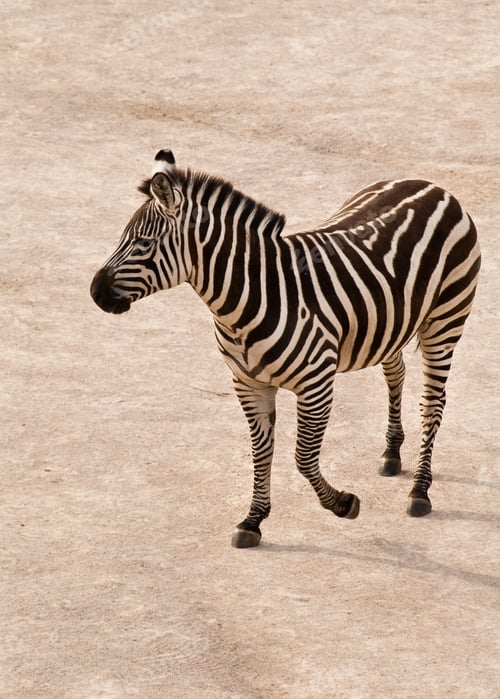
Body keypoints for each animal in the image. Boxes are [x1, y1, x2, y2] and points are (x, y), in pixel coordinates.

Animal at [90, 149, 481, 548]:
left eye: (142, 243)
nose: (95, 293)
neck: (248, 300)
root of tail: (432, 186)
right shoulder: (248, 384)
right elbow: (261, 452)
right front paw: (253, 520)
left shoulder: (316, 384)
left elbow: (303, 457)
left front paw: (343, 504)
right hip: (389, 322)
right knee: (396, 373)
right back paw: (391, 452)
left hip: (445, 319)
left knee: (433, 402)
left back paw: (420, 490)